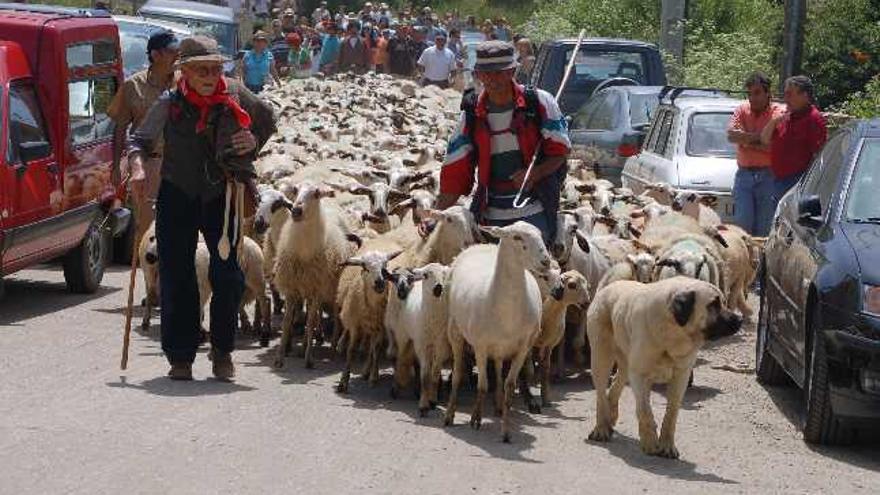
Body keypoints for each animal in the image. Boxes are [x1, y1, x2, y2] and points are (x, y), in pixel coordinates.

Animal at [273, 180, 361, 369]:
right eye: (295, 190)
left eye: (316, 193)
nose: (296, 210)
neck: (303, 252)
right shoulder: (292, 289)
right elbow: (287, 322)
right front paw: (279, 358)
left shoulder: (318, 289)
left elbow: (311, 321)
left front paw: (309, 359)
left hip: (332, 289)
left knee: (334, 317)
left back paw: (333, 348)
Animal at [336, 246, 403, 392]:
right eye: (365, 267)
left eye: (385, 266)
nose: (379, 282)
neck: (372, 307)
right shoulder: (355, 325)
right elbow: (351, 350)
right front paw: (343, 381)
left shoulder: (380, 326)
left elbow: (376, 350)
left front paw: (373, 377)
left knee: (372, 348)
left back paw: (369, 372)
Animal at [384, 263, 452, 416]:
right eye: (426, 275)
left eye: (444, 274)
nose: (438, 288)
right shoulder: (422, 345)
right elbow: (425, 376)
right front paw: (423, 406)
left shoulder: (441, 346)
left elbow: (434, 374)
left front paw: (432, 400)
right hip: (403, 336)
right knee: (399, 358)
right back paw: (395, 388)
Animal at [444, 221, 561, 442]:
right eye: (517, 237)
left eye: (540, 233)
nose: (545, 261)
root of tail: (481, 245)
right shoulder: (480, 347)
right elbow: (482, 385)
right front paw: (476, 418)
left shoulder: (523, 349)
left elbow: (509, 386)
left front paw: (506, 431)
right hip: (455, 331)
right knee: (457, 374)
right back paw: (449, 414)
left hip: (500, 347)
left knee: (498, 369)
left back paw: (498, 407)